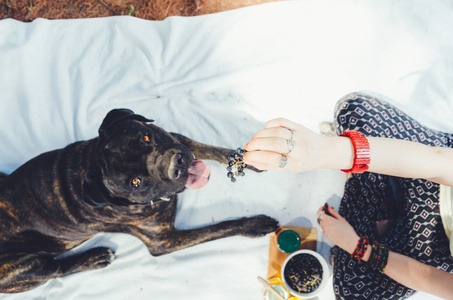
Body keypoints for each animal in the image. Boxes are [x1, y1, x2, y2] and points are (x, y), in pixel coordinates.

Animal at [0, 108, 278, 292]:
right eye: (136, 182)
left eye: (146, 136)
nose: (176, 165)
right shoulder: (164, 241)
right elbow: (219, 228)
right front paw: (254, 224)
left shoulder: (177, 139)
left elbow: (212, 149)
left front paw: (250, 158)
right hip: (24, 266)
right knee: (55, 269)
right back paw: (94, 258)